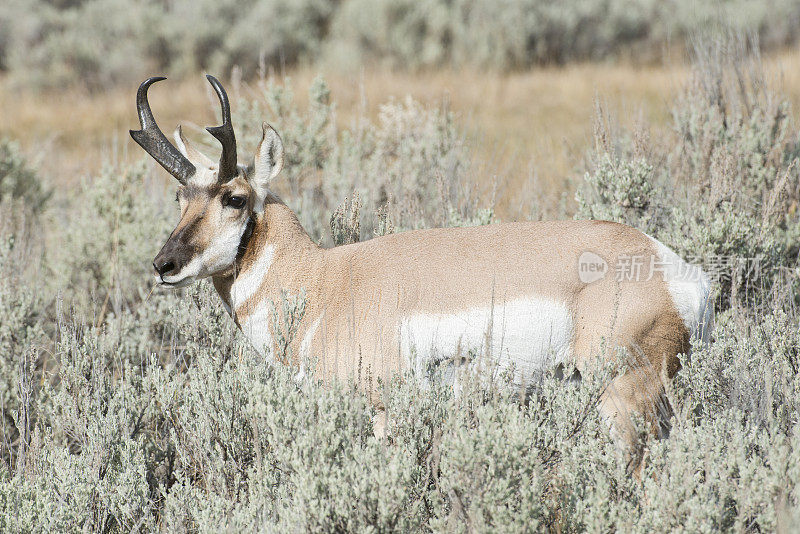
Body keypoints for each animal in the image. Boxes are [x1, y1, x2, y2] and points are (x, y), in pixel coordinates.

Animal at [131, 76, 712, 468]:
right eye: (181, 196)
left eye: (233, 197)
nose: (164, 265)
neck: (322, 281)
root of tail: (672, 267)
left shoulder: (381, 409)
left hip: (621, 397)